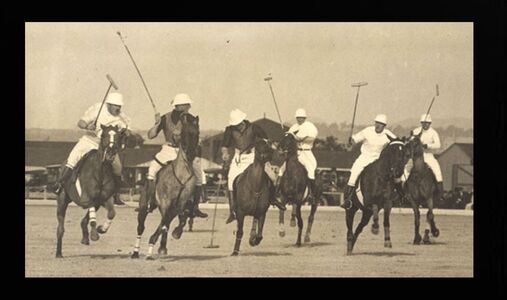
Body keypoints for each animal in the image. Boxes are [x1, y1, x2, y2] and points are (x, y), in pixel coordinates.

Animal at [55, 124, 133, 258]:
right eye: (104, 135)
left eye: (118, 136)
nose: (110, 153)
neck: (100, 172)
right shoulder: (88, 198)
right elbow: (91, 218)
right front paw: (94, 234)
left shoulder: (103, 199)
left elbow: (111, 213)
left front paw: (101, 229)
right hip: (62, 199)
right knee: (60, 228)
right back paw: (58, 252)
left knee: (83, 220)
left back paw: (85, 238)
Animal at [131, 112, 200, 260]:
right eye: (183, 133)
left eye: (197, 134)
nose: (191, 154)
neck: (181, 175)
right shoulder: (165, 203)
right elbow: (164, 223)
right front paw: (151, 248)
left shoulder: (179, 204)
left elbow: (175, 220)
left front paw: (176, 233)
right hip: (144, 206)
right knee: (141, 227)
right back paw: (135, 252)